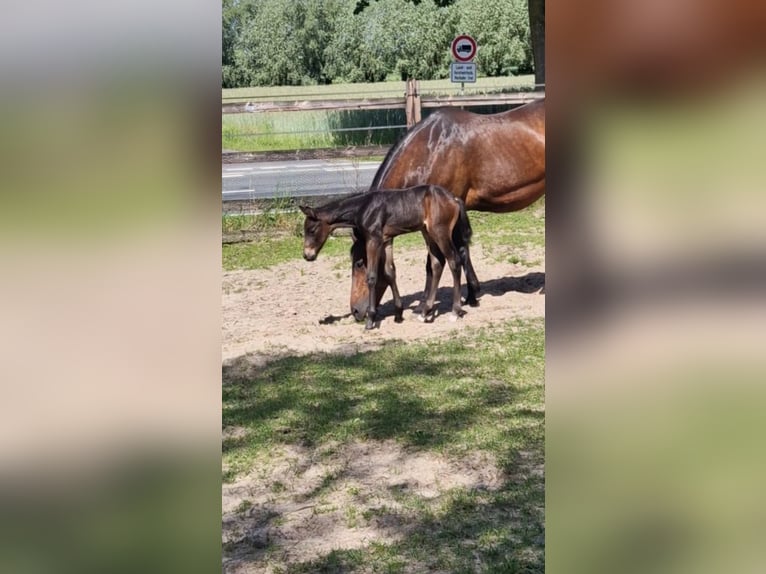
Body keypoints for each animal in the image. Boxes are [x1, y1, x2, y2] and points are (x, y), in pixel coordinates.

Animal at [300, 184, 480, 330]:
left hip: (440, 232)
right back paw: (425, 313)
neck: (363, 207)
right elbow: (389, 273)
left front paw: (371, 319)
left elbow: (372, 277)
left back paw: (455, 312)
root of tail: (454, 199)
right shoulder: (386, 240)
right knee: (437, 264)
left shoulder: (373, 239)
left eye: (311, 230)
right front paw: (398, 314)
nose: (307, 255)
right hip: (428, 233)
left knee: (453, 261)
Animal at [348, 97, 545, 321]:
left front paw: (426, 305)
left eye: (359, 263)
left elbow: (436, 261)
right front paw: (471, 295)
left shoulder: (440, 219)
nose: (355, 310)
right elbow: (461, 251)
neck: (432, 148)